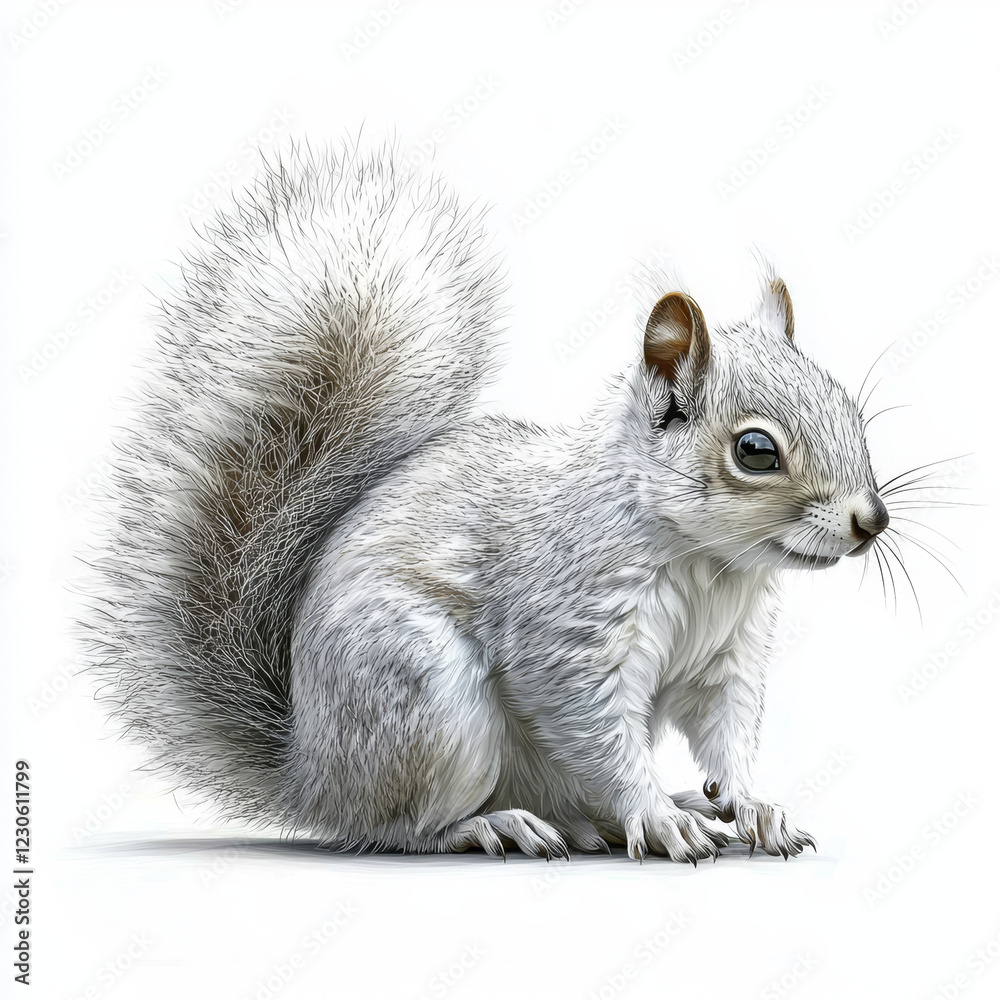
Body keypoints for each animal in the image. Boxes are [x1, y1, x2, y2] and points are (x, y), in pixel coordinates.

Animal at [82, 139, 891, 863]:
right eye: (755, 451)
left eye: (851, 411)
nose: (871, 520)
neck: (711, 566)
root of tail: (310, 774)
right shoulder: (569, 627)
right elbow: (596, 727)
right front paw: (657, 818)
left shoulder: (729, 655)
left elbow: (728, 731)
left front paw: (751, 805)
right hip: (424, 703)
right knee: (400, 829)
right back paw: (502, 826)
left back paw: (666, 806)